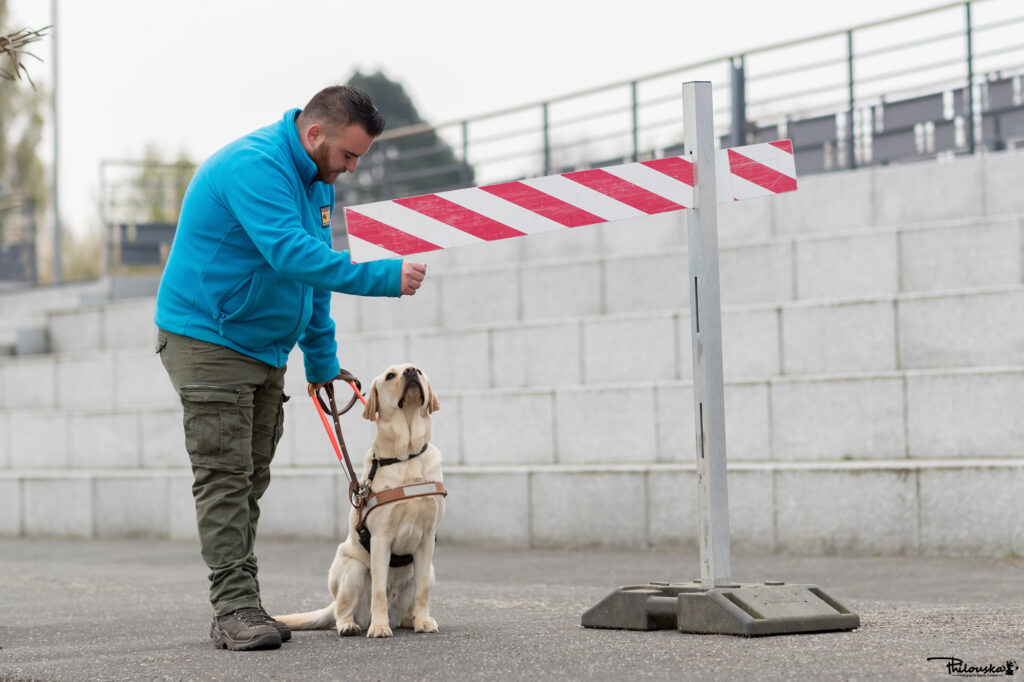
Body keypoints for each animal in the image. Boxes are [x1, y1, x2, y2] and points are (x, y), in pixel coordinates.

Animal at [276, 364, 444, 634]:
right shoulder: (381, 538)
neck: (405, 456)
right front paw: (379, 627)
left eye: (418, 370)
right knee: (342, 612)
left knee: (410, 602)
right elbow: (378, 591)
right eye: (390, 375)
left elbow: (423, 591)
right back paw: (350, 625)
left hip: (428, 570)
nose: (410, 371)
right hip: (352, 570)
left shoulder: (427, 539)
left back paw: (412, 619)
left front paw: (424, 621)